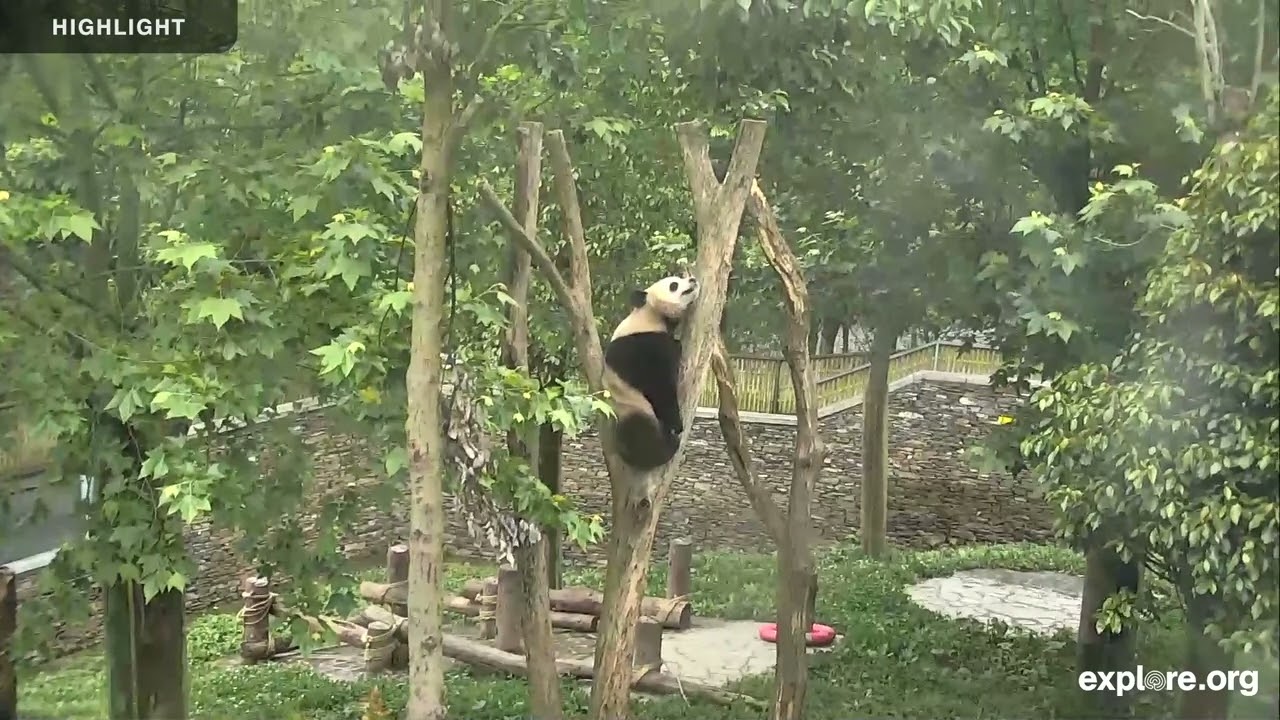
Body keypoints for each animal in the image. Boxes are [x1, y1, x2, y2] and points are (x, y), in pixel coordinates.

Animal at [603, 274, 700, 471]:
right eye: (673, 285)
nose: (693, 280)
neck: (649, 316)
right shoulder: (643, 346)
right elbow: (659, 386)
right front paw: (676, 424)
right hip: (630, 406)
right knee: (641, 435)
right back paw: (668, 445)